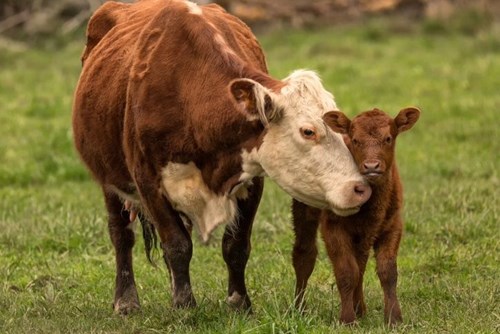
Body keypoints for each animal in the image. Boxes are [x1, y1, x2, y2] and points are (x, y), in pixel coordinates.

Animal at [73, 0, 372, 314]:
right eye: (308, 131)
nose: (360, 188)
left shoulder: (251, 179)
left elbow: (235, 245)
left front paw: (239, 302)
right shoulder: (148, 181)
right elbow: (177, 244)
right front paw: (185, 306)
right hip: (110, 180)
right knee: (121, 234)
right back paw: (126, 300)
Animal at [292, 107, 420, 326]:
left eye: (388, 138)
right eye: (355, 140)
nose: (371, 166)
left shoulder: (393, 225)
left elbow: (387, 271)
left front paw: (394, 317)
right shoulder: (333, 227)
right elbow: (346, 271)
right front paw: (347, 319)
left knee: (360, 263)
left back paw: (360, 308)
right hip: (304, 208)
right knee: (304, 254)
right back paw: (299, 308)